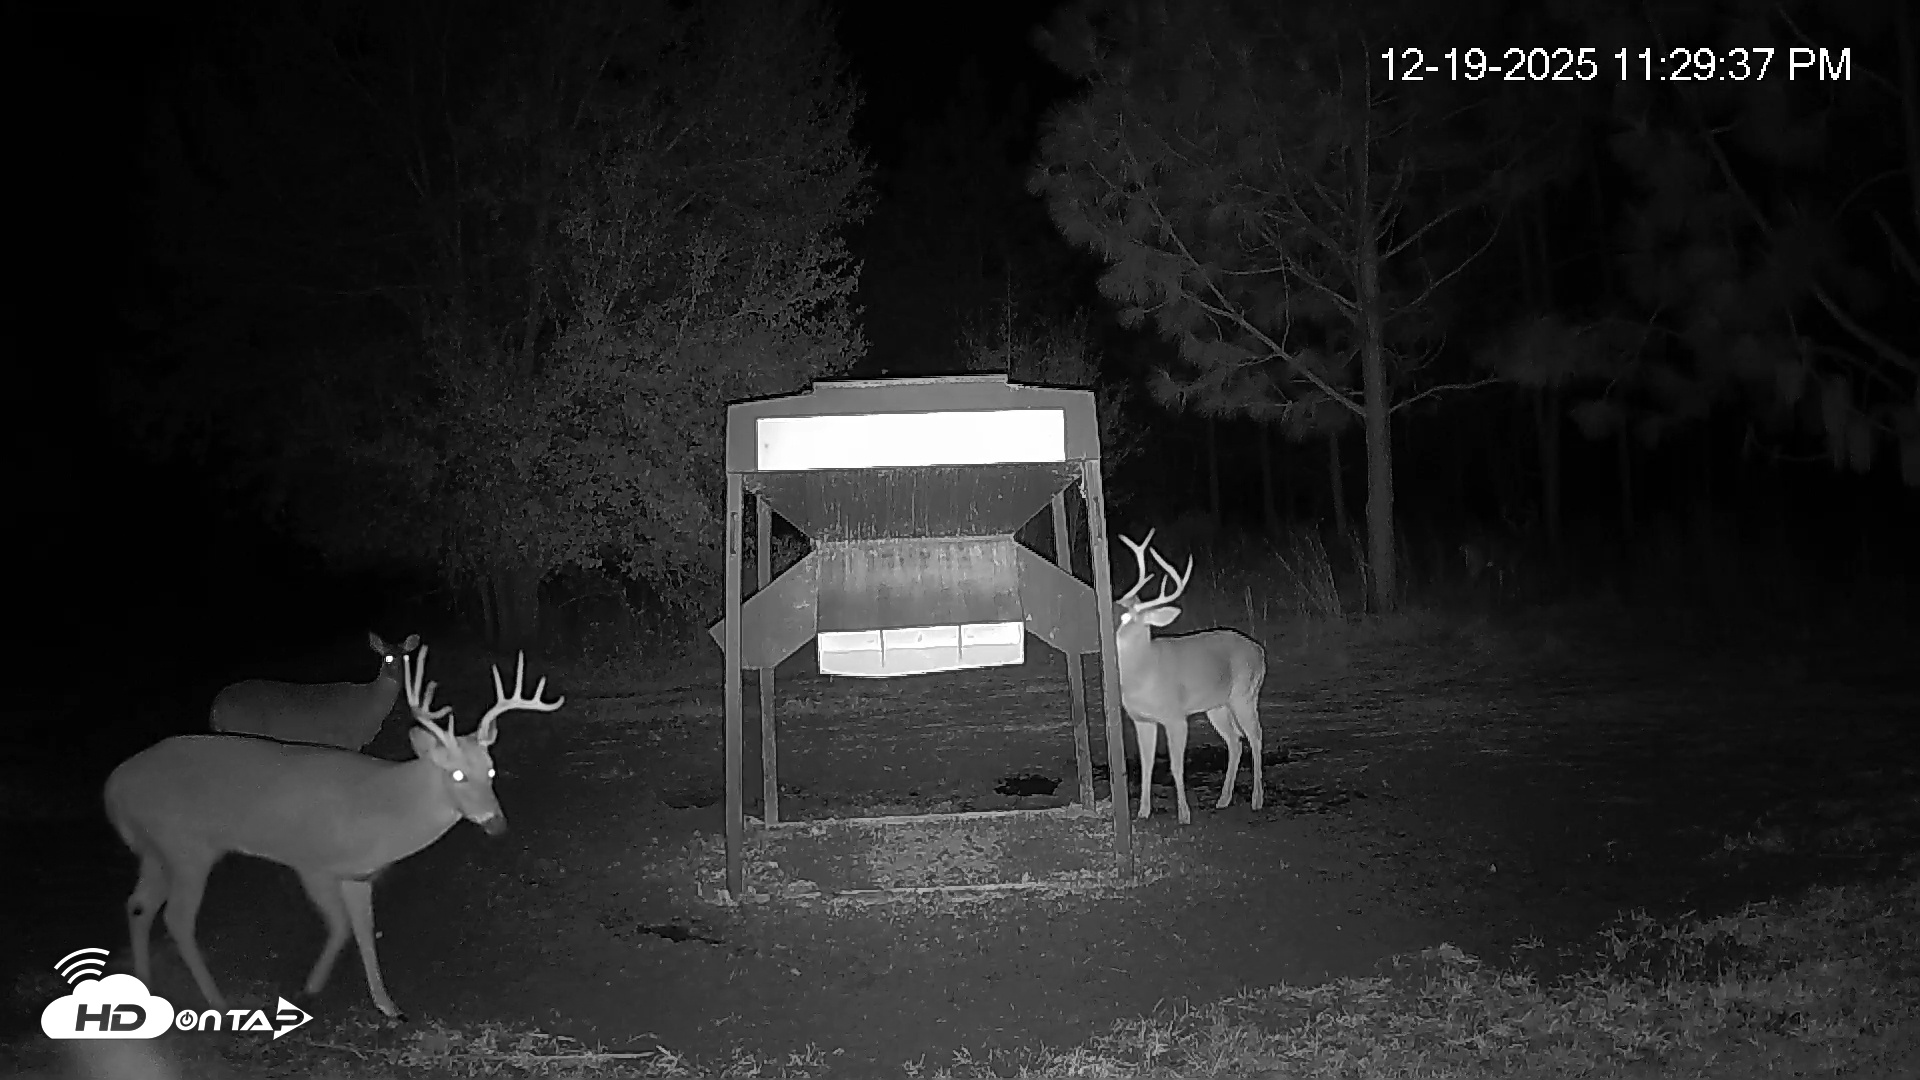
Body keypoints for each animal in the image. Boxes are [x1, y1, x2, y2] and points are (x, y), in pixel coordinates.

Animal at [103, 645, 563, 1021]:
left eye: (491, 770)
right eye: (456, 774)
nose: (496, 823)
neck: (380, 812)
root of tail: (113, 787)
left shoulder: (359, 875)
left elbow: (364, 932)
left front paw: (389, 1006)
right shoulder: (312, 863)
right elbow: (341, 927)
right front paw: (311, 987)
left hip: (156, 849)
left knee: (138, 905)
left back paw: (143, 986)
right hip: (186, 846)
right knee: (177, 917)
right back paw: (217, 1001)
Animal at [208, 631, 422, 750]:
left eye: (406, 658)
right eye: (387, 658)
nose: (396, 677)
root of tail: (215, 707)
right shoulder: (346, 739)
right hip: (241, 727)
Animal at [1114, 531, 1269, 825]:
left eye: (1126, 616)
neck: (1143, 673)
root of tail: (1260, 650)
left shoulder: (1176, 716)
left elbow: (1176, 766)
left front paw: (1184, 815)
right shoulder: (1141, 719)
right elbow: (1146, 765)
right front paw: (1142, 812)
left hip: (1245, 694)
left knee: (1255, 737)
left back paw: (1257, 800)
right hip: (1216, 706)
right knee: (1235, 741)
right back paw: (1223, 799)